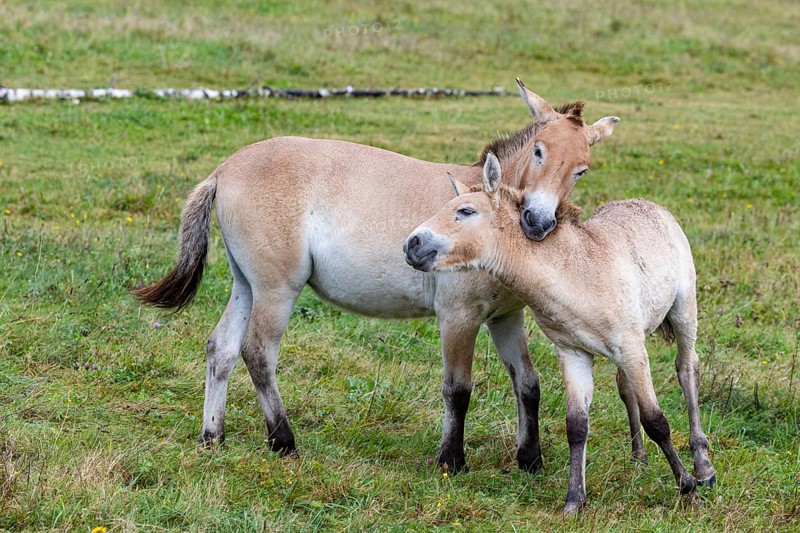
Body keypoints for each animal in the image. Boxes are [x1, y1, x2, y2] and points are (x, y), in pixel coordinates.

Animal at [132, 78, 619, 474]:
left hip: (246, 286)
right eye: (539, 151)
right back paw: (283, 441)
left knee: (222, 349)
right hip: (276, 290)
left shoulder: (505, 319)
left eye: (581, 170)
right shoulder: (458, 318)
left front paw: (530, 459)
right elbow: (458, 389)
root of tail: (224, 170)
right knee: (258, 353)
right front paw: (451, 461)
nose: (537, 222)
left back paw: (212, 437)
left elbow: (528, 385)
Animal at [404, 153, 715, 513]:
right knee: (626, 388)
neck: (578, 275)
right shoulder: (574, 353)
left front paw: (688, 488)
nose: (411, 244)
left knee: (687, 369)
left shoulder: (631, 348)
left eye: (466, 211)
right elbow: (576, 426)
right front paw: (574, 501)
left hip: (683, 310)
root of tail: (652, 206)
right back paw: (638, 458)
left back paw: (704, 468)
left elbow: (657, 421)